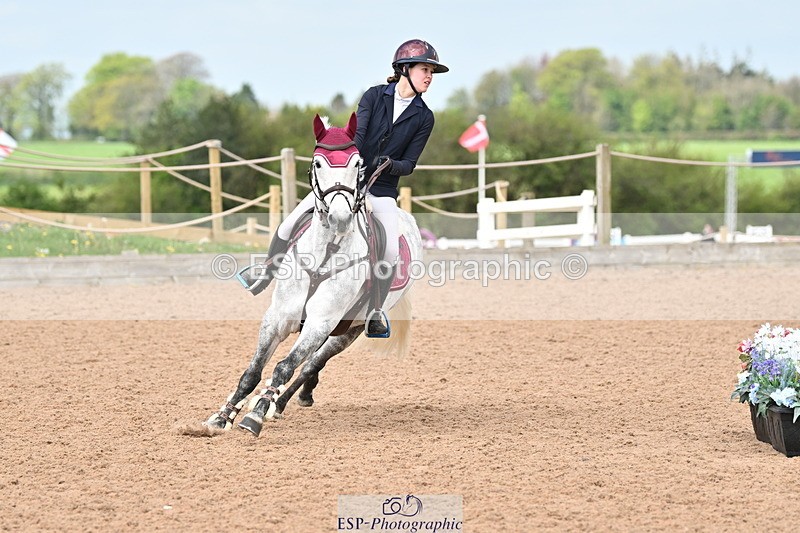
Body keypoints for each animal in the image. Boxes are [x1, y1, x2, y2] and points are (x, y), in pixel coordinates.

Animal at [204, 113, 423, 437]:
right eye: (318, 163)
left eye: (357, 164)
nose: (340, 219)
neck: (325, 251)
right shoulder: (279, 316)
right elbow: (252, 371)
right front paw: (222, 417)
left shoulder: (322, 321)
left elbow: (285, 366)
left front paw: (255, 415)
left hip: (349, 328)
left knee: (313, 362)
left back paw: (281, 402)